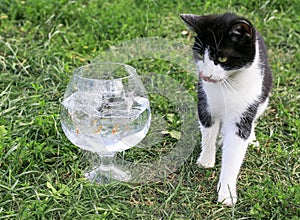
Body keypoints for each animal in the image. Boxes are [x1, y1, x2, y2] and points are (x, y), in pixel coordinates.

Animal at [180, 12, 272, 205]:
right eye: (200, 54)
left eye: (222, 58)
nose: (205, 75)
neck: (227, 84)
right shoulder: (205, 100)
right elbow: (208, 131)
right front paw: (206, 160)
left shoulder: (244, 109)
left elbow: (234, 152)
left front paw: (227, 193)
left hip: (265, 91)